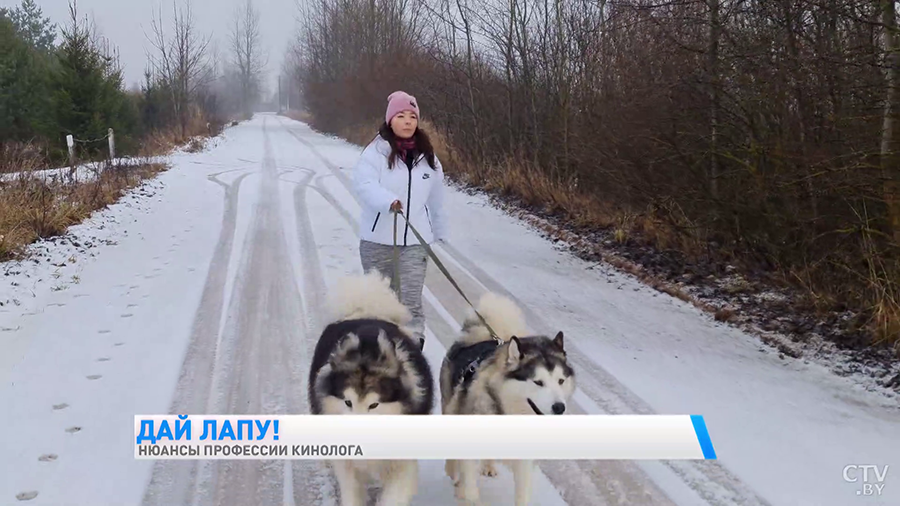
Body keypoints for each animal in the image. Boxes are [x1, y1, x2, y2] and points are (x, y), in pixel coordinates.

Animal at [438, 292, 576, 506]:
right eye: (538, 382)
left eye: (561, 380)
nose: (560, 407)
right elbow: (470, 489)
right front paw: (463, 490)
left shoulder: (524, 462)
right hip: (450, 405)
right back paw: (452, 471)